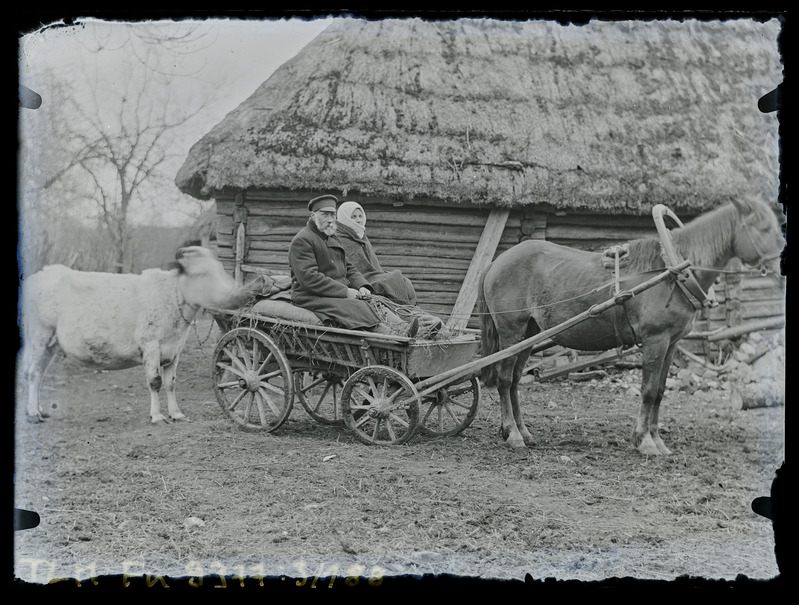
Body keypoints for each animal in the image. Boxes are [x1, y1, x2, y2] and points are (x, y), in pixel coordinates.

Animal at [20, 248, 264, 422]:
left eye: (220, 269)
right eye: (201, 273)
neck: (173, 295)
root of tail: (40, 275)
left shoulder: (175, 350)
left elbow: (171, 383)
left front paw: (176, 414)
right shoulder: (151, 345)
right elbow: (155, 382)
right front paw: (157, 416)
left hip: (51, 344)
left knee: (39, 374)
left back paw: (39, 408)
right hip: (40, 337)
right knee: (33, 373)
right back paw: (32, 413)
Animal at [478, 196, 784, 456]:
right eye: (764, 228)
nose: (781, 269)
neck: (672, 272)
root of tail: (495, 262)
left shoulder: (672, 343)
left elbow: (659, 392)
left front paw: (657, 440)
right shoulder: (655, 340)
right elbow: (648, 391)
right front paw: (645, 441)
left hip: (527, 335)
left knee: (516, 381)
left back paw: (523, 431)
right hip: (512, 332)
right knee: (505, 381)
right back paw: (513, 434)